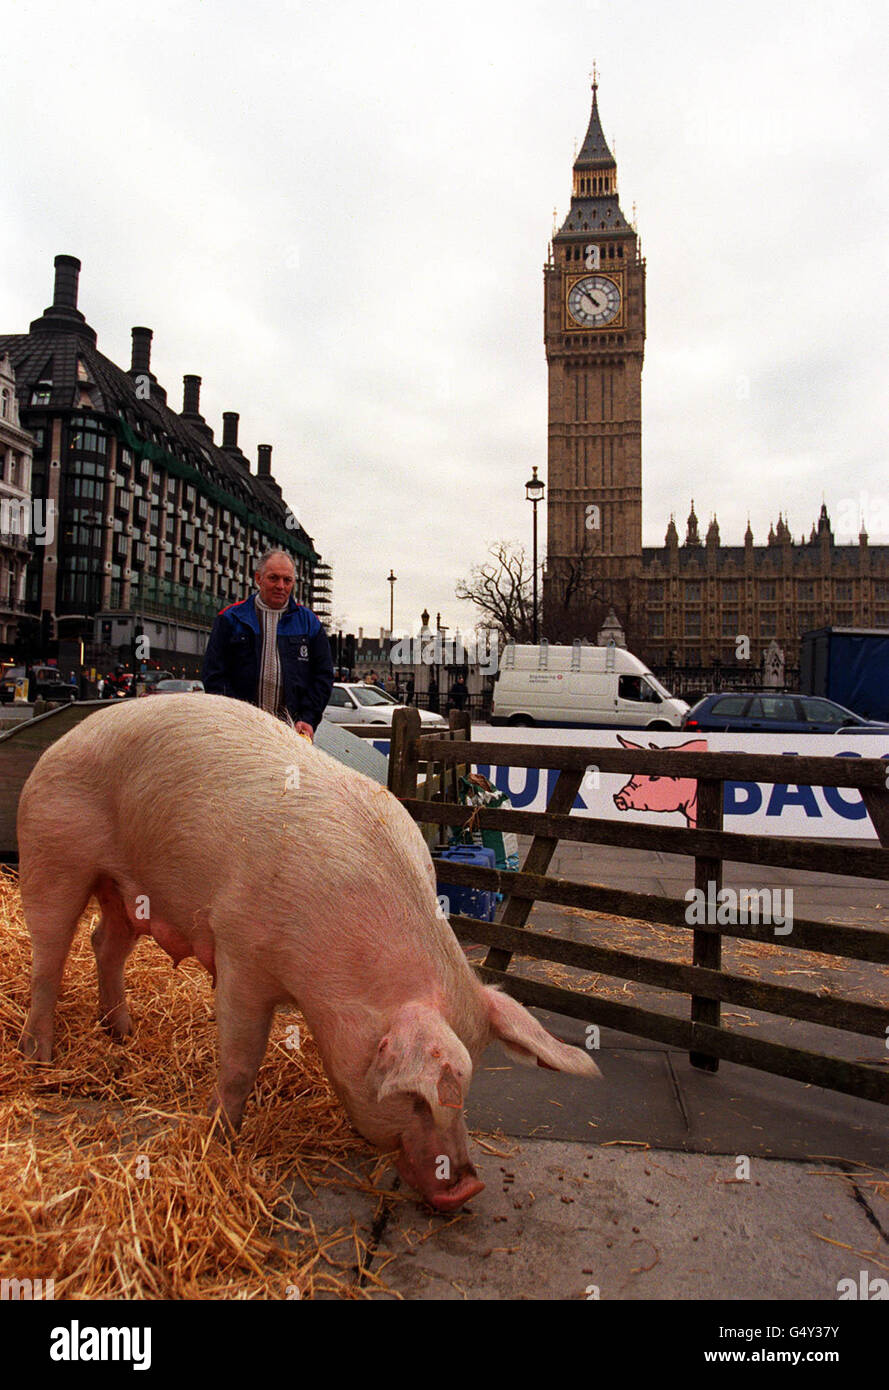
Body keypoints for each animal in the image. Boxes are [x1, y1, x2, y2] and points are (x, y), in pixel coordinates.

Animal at [15, 700, 597, 1212]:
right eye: (418, 1099)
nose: (468, 1188)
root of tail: (65, 738)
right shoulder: (240, 952)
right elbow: (240, 1062)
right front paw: (220, 1137)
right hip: (52, 851)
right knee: (49, 954)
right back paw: (39, 1057)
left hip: (126, 891)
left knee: (103, 944)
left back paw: (123, 1033)